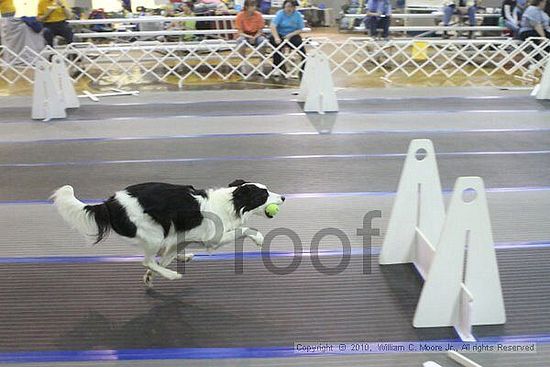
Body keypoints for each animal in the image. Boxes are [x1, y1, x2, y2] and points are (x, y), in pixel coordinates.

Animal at [52, 181, 286, 288]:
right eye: (264, 195)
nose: (283, 197)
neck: (231, 204)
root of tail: (109, 204)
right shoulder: (214, 239)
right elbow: (245, 230)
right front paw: (259, 239)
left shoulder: (180, 238)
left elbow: (166, 258)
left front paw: (152, 275)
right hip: (154, 234)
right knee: (146, 260)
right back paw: (173, 275)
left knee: (155, 260)